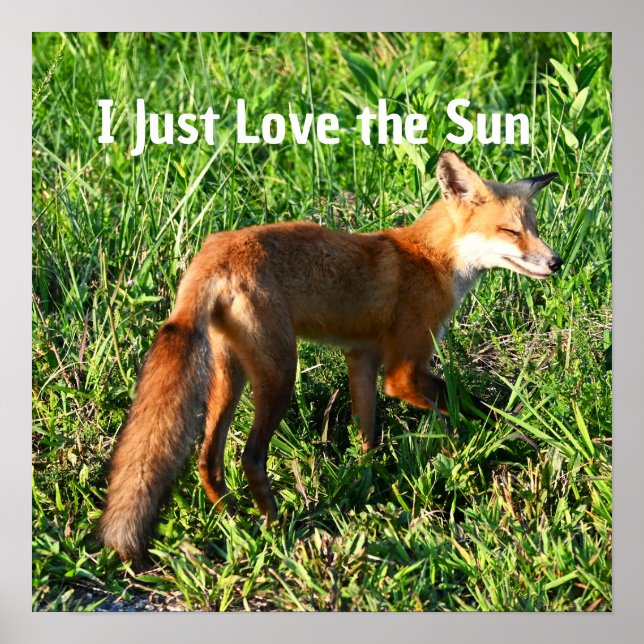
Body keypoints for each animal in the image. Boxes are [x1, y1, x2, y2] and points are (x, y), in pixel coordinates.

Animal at [99, 151, 562, 562]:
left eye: (534, 227)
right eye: (510, 231)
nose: (556, 262)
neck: (430, 260)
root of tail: (215, 252)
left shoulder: (361, 358)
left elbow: (369, 434)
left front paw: (369, 481)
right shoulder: (403, 371)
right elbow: (472, 405)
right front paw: (516, 438)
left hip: (231, 378)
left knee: (208, 460)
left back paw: (232, 521)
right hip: (280, 374)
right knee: (250, 457)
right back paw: (276, 529)